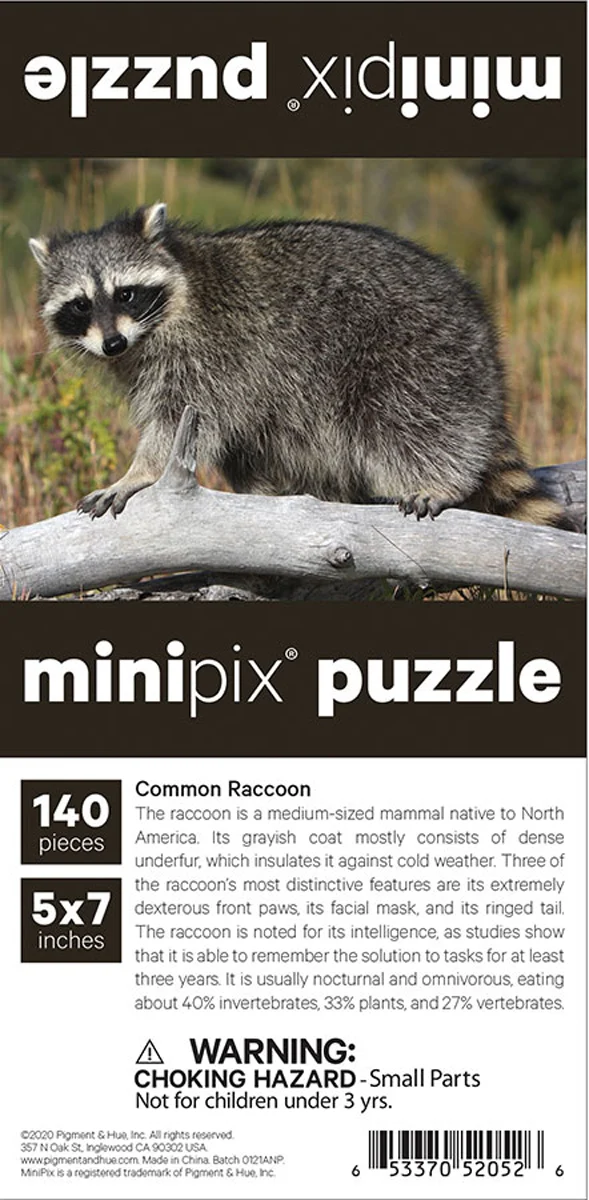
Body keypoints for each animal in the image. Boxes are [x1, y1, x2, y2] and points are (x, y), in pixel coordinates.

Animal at [30, 202, 569, 527]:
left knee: (404, 421)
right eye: (81, 304)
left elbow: (178, 420)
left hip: (417, 351)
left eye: (126, 294)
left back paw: (440, 479)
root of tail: (480, 331)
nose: (112, 343)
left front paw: (139, 471)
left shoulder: (211, 350)